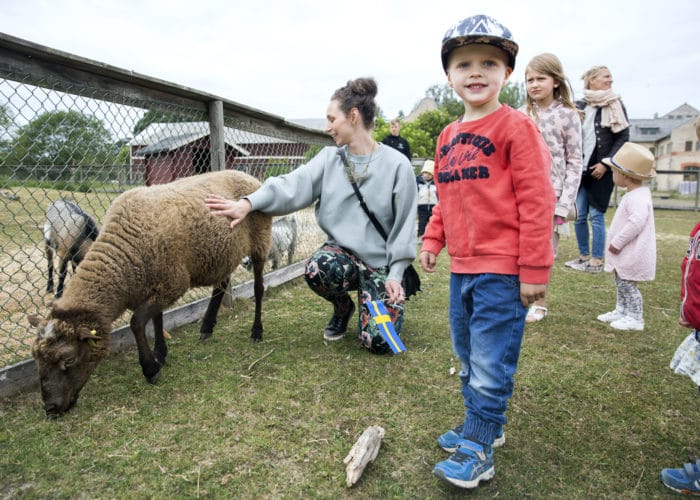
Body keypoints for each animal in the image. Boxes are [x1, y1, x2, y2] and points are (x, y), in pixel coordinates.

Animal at [29, 172, 270, 418]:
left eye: (69, 359)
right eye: (36, 359)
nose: (51, 409)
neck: (123, 258)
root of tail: (247, 175)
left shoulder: (173, 283)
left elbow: (137, 323)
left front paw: (151, 368)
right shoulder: (156, 286)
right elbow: (157, 319)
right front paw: (160, 354)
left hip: (261, 240)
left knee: (258, 288)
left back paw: (256, 331)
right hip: (222, 254)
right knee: (221, 285)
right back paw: (207, 327)